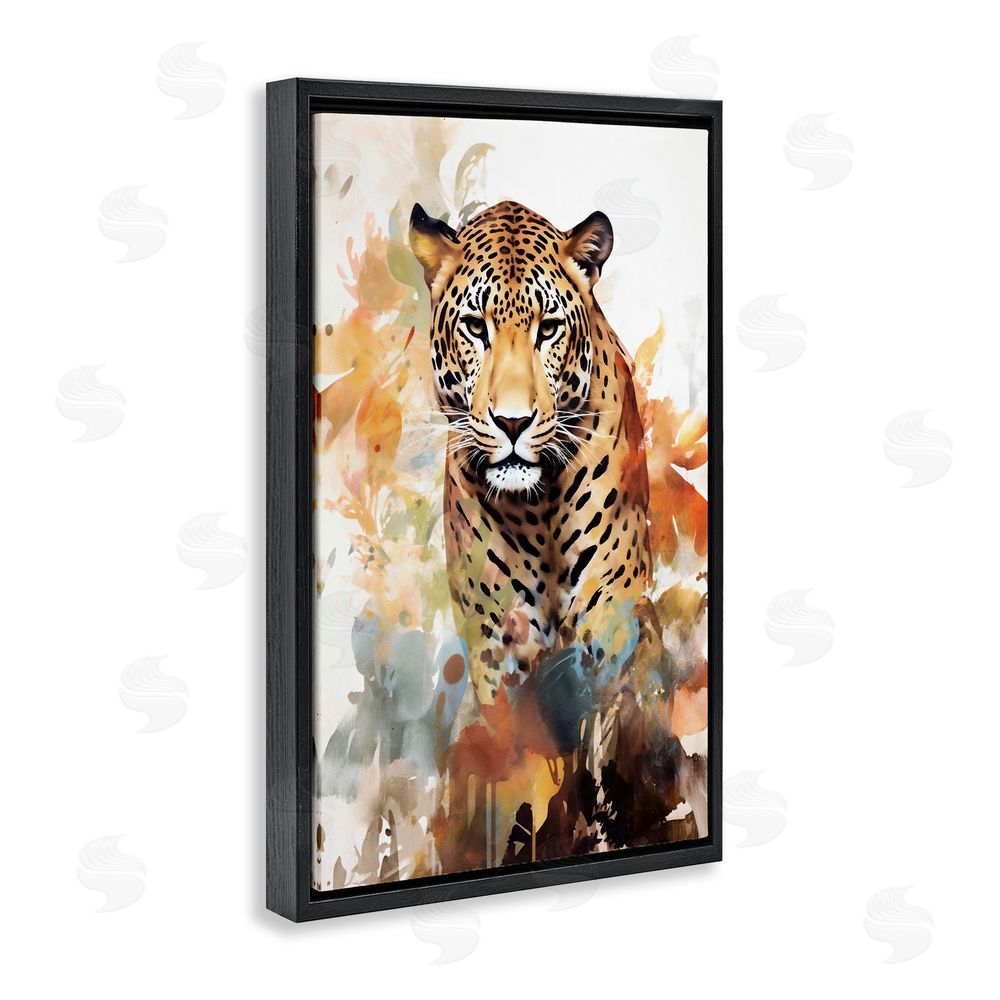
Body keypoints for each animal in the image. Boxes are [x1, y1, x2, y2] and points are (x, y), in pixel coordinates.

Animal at [410, 199, 653, 708]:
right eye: (475, 327)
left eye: (549, 330)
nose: (513, 422)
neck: (538, 510)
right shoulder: (496, 642)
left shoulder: (611, 618)